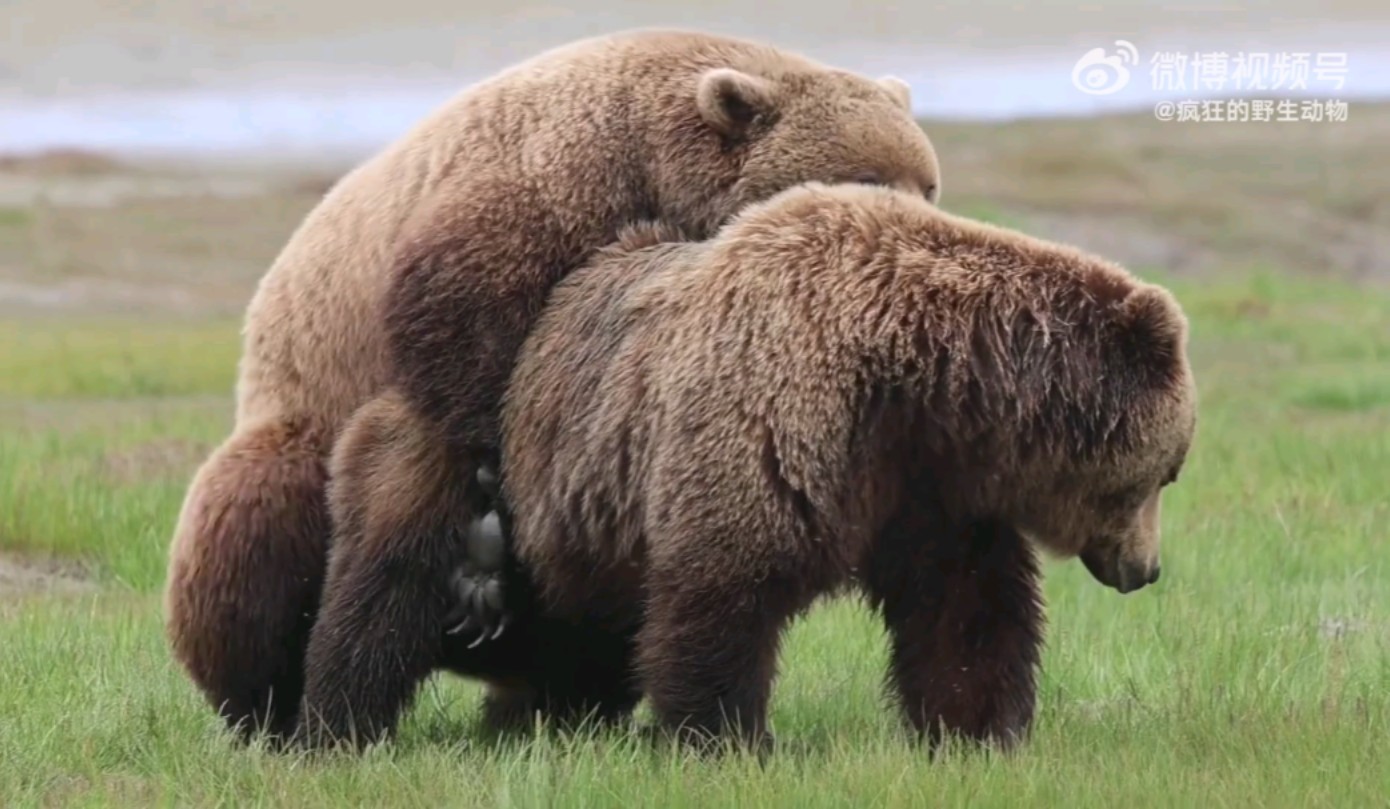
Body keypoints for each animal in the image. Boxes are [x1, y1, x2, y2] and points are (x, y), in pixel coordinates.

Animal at [165, 25, 945, 750]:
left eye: (927, 178)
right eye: (870, 173)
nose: (918, 232)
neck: (659, 164)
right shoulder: (546, 196)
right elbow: (457, 361)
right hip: (296, 425)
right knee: (252, 539)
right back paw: (264, 705)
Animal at [483, 183, 1200, 756]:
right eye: (1167, 473)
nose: (1146, 569)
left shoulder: (930, 485)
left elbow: (967, 608)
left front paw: (978, 728)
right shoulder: (776, 420)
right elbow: (725, 586)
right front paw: (724, 736)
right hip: (579, 488)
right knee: (576, 622)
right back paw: (541, 713)